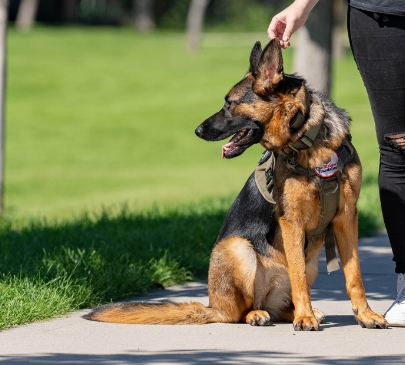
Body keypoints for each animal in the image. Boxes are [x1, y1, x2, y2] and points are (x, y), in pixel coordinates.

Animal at [85, 39, 388, 330]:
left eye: (230, 103)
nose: (197, 130)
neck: (306, 137)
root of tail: (212, 306)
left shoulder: (346, 217)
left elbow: (354, 276)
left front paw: (365, 315)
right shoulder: (291, 221)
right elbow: (299, 278)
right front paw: (305, 319)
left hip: (310, 261)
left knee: (281, 305)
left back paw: (304, 312)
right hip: (237, 248)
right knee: (240, 312)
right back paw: (263, 314)